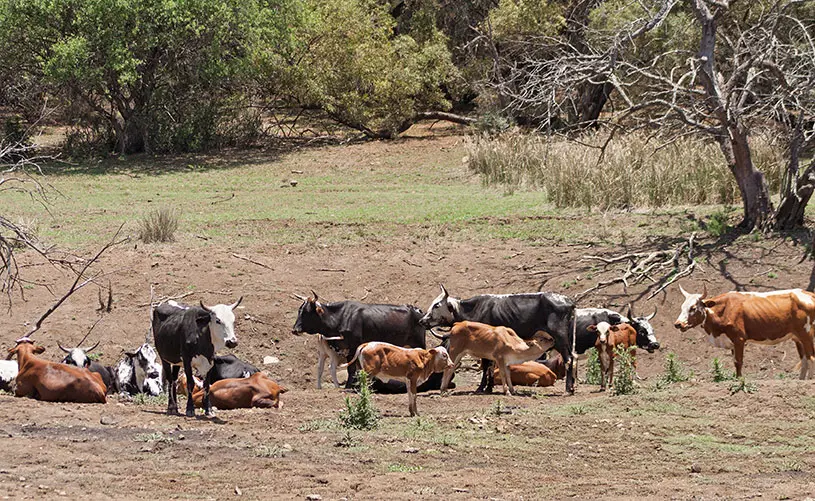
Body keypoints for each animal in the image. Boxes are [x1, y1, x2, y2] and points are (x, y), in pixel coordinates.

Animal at [292, 292, 439, 392]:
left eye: (307, 312)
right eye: (299, 310)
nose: (294, 329)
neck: (340, 317)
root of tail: (417, 310)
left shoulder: (353, 347)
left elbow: (351, 369)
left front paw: (349, 386)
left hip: (419, 342)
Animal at [420, 285, 577, 394]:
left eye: (437, 305)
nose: (422, 320)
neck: (473, 309)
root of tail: (569, 302)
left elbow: (486, 365)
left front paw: (482, 388)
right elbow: (490, 365)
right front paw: (488, 387)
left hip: (560, 339)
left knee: (568, 359)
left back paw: (568, 389)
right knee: (572, 358)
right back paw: (572, 387)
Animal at [674, 285, 815, 379]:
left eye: (693, 308)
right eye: (682, 307)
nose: (678, 324)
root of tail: (809, 294)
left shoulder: (739, 339)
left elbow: (738, 362)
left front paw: (740, 380)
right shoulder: (731, 342)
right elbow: (734, 361)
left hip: (806, 334)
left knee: (811, 358)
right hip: (797, 337)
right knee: (804, 360)